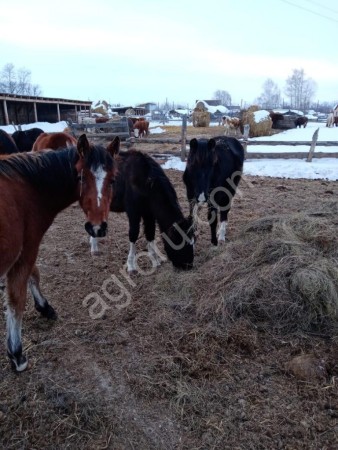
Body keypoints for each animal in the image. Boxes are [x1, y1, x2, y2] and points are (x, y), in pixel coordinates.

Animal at [0, 134, 117, 372]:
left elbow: (33, 276)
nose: (97, 228)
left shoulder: (26, 247)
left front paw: (45, 307)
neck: (27, 188)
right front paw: (16, 354)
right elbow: (16, 299)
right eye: (81, 177)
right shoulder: (26, 250)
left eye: (112, 180)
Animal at [90, 137, 194, 270]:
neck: (146, 181)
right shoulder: (133, 212)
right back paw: (94, 248)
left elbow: (150, 233)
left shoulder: (149, 213)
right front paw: (131, 265)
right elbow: (133, 234)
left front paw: (155, 260)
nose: (189, 265)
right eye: (180, 241)